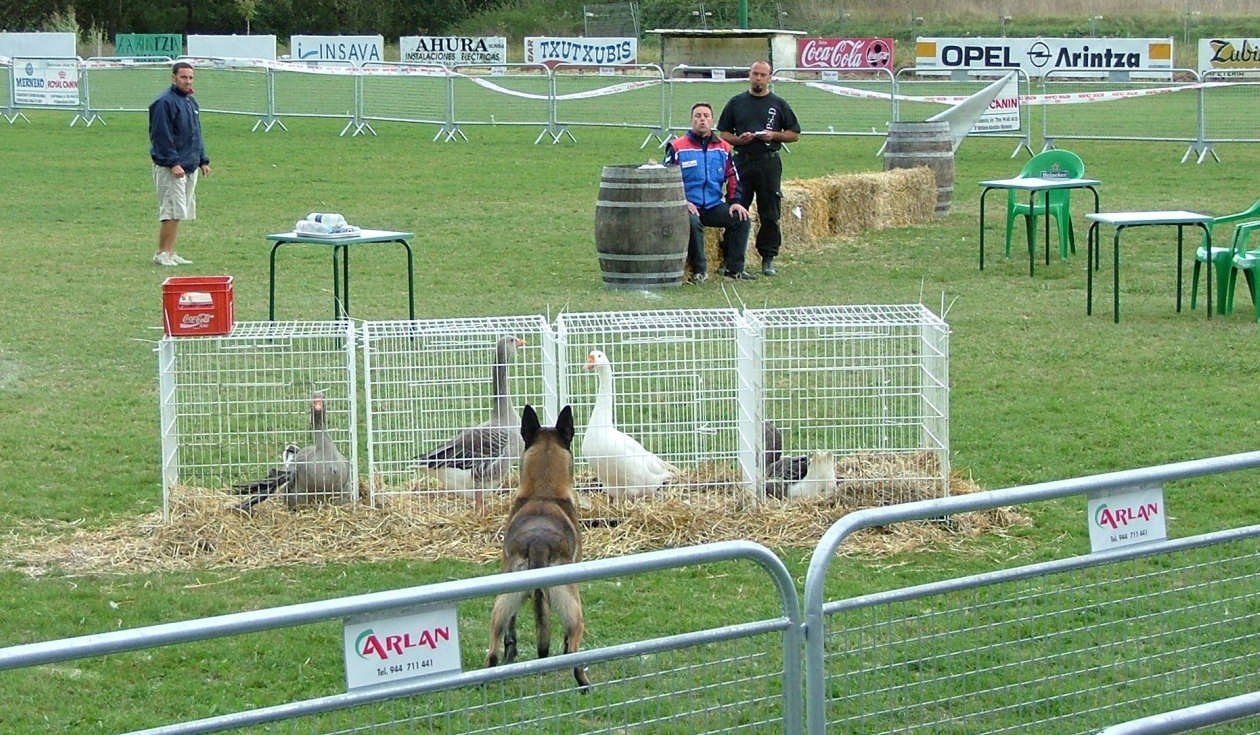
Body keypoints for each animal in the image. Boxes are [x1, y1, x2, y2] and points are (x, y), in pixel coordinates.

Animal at [486, 405, 594, 690]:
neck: (543, 494)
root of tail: (538, 544)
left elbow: (511, 632)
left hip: (503, 601)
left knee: (493, 649)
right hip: (572, 607)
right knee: (574, 648)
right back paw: (583, 683)